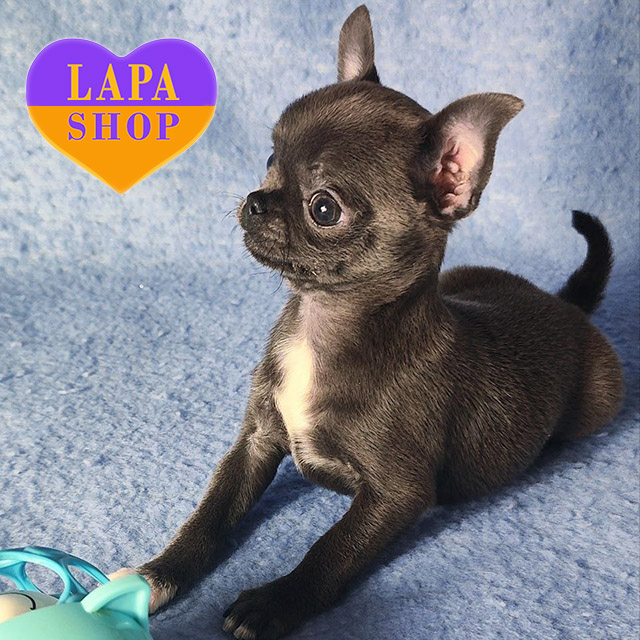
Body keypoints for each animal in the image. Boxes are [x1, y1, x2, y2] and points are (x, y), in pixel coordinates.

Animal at [110, 6, 624, 639]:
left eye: (323, 208)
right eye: (270, 161)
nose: (255, 200)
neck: (320, 324)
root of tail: (564, 304)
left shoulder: (396, 495)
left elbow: (332, 549)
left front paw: (274, 601)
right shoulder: (255, 443)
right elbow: (209, 516)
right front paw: (155, 575)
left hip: (600, 400)